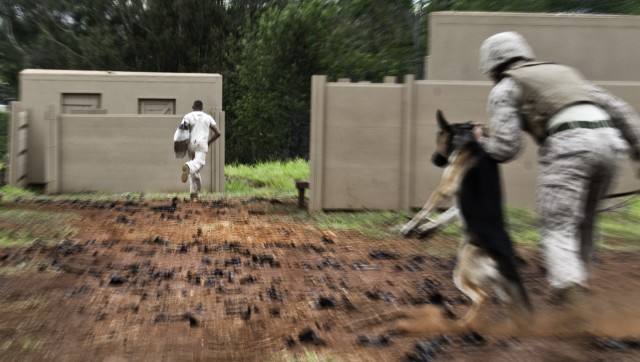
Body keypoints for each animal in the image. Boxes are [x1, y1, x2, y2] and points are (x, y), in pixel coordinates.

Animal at [402, 110, 532, 328]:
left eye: (437, 140)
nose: (433, 159)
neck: (467, 140)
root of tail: (502, 253)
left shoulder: (444, 189)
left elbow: (424, 211)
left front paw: (408, 227)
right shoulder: (457, 205)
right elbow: (443, 217)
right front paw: (425, 230)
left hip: (462, 273)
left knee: (481, 297)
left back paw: (462, 323)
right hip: (499, 285)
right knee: (510, 305)